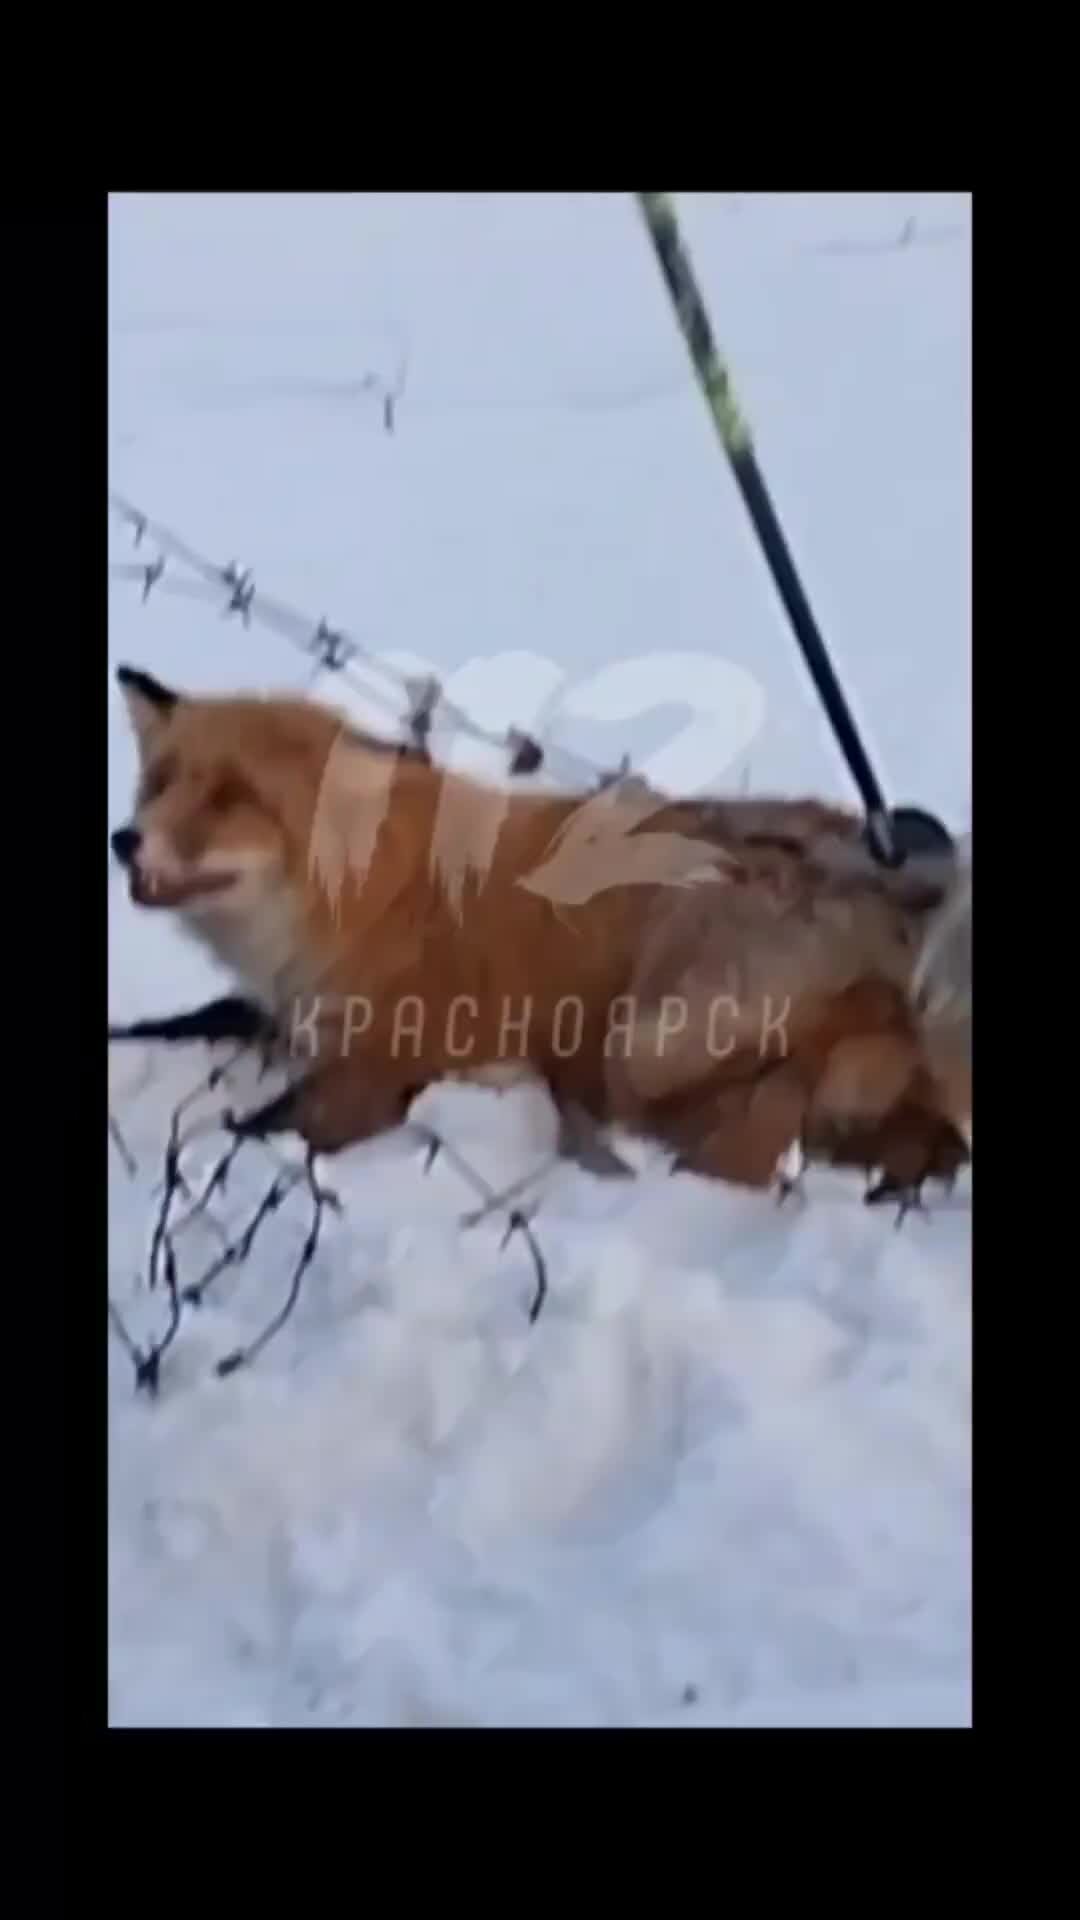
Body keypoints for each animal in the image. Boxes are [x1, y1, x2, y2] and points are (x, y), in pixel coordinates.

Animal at [109, 664, 970, 1204]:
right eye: (159, 784)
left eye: (230, 797)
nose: (124, 840)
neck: (369, 896)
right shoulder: (296, 1018)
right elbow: (188, 1021)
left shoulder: (385, 1066)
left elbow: (255, 1129)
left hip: (646, 1042)